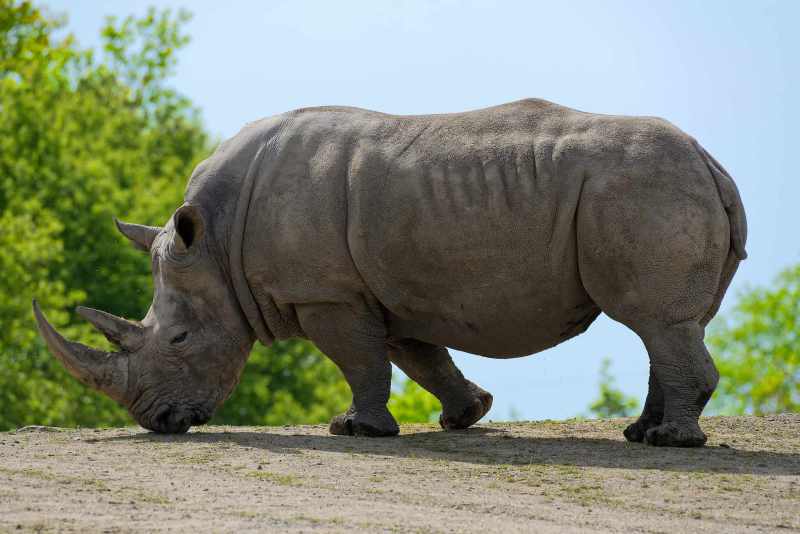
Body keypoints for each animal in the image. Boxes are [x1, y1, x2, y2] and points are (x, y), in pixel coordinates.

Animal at [33, 98, 747, 447]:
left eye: (179, 339)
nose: (156, 421)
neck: (215, 243)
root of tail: (712, 162)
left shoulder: (325, 293)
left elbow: (360, 361)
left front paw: (354, 431)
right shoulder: (383, 289)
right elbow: (418, 357)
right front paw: (465, 417)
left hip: (643, 187)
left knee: (656, 321)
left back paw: (671, 444)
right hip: (655, 186)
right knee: (665, 328)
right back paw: (642, 434)